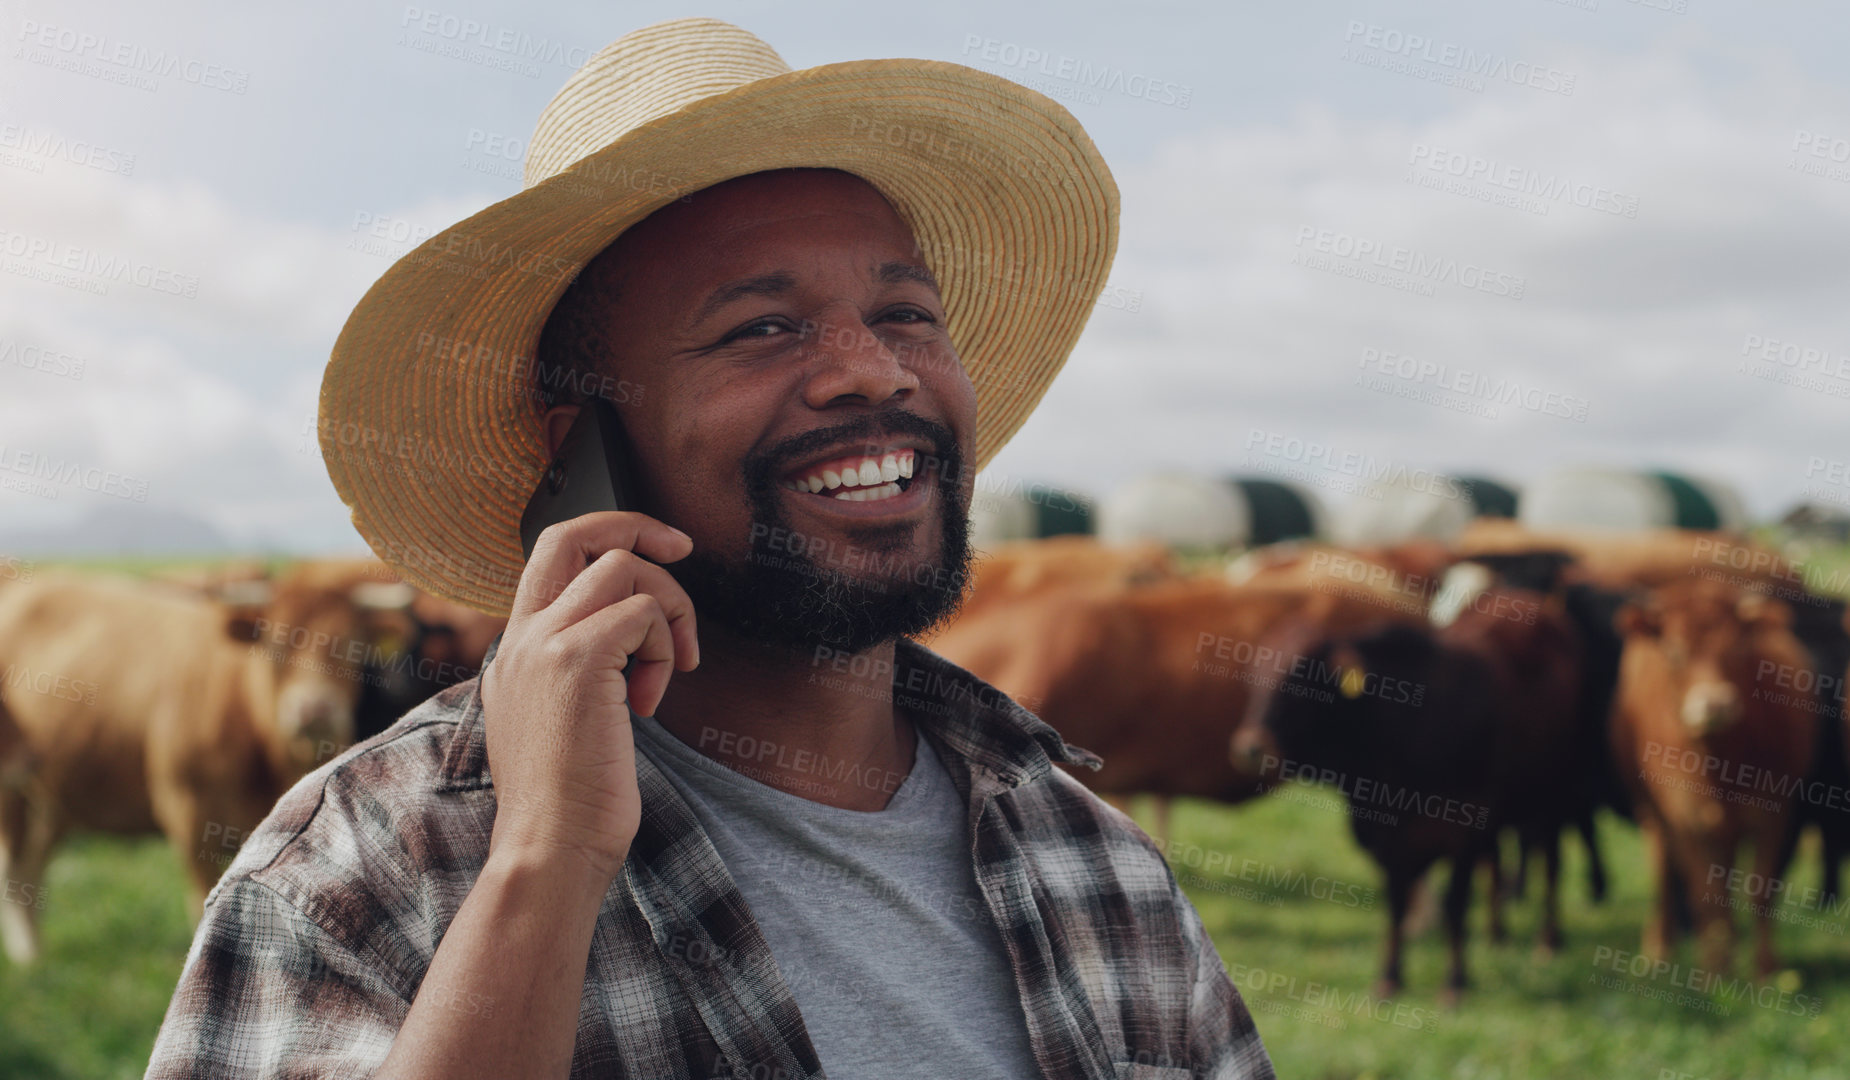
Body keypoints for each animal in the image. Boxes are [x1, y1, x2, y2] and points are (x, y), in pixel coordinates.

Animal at [0, 565, 401, 961]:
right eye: (276, 647)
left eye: (354, 647)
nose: (315, 710)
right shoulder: (189, 817)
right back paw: (29, 959)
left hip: (51, 802)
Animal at [1613, 580, 1813, 976]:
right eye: (1675, 652)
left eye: (1735, 648)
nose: (1715, 704)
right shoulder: (1685, 821)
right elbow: (1704, 896)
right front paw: (1712, 972)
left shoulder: (1775, 813)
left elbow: (1760, 890)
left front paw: (1764, 970)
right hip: (1651, 814)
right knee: (1664, 875)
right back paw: (1659, 949)